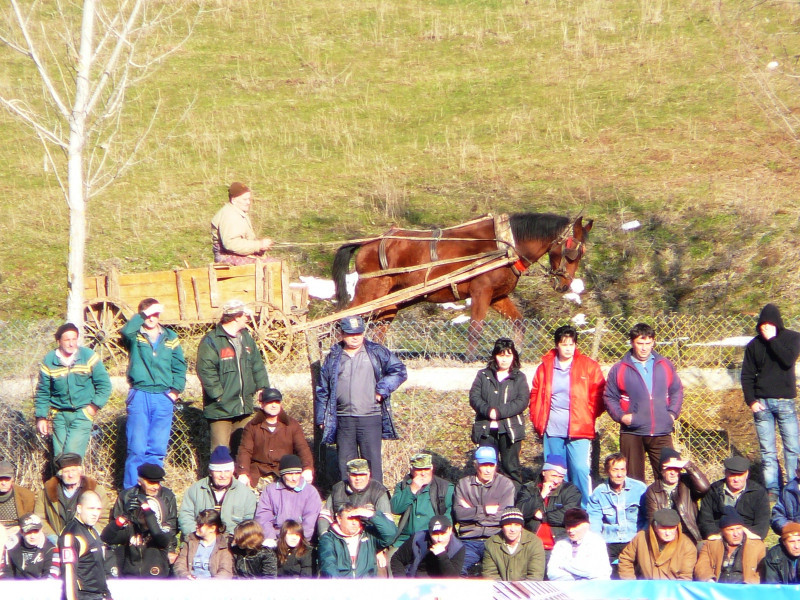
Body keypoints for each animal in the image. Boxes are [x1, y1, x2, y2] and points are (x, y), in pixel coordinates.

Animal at [332, 213, 592, 358]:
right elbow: (475, 329)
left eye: (582, 254)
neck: (505, 245)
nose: (564, 285)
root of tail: (368, 242)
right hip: (370, 290)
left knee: (377, 329)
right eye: (571, 252)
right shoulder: (481, 293)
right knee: (343, 319)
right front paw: (470, 358)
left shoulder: (498, 297)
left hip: (390, 301)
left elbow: (518, 323)